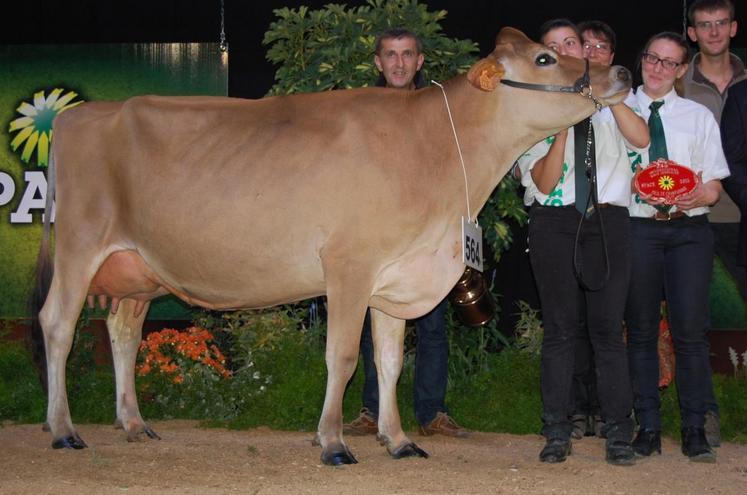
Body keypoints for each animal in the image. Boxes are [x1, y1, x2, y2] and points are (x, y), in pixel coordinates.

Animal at [33, 29, 632, 466]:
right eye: (546, 57)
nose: (621, 71)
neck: (434, 148)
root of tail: (78, 114)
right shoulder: (349, 266)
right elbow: (343, 357)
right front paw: (334, 441)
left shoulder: (395, 275)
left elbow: (389, 362)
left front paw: (399, 440)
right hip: (80, 244)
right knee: (57, 324)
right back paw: (62, 430)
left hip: (136, 269)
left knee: (123, 333)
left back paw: (134, 424)